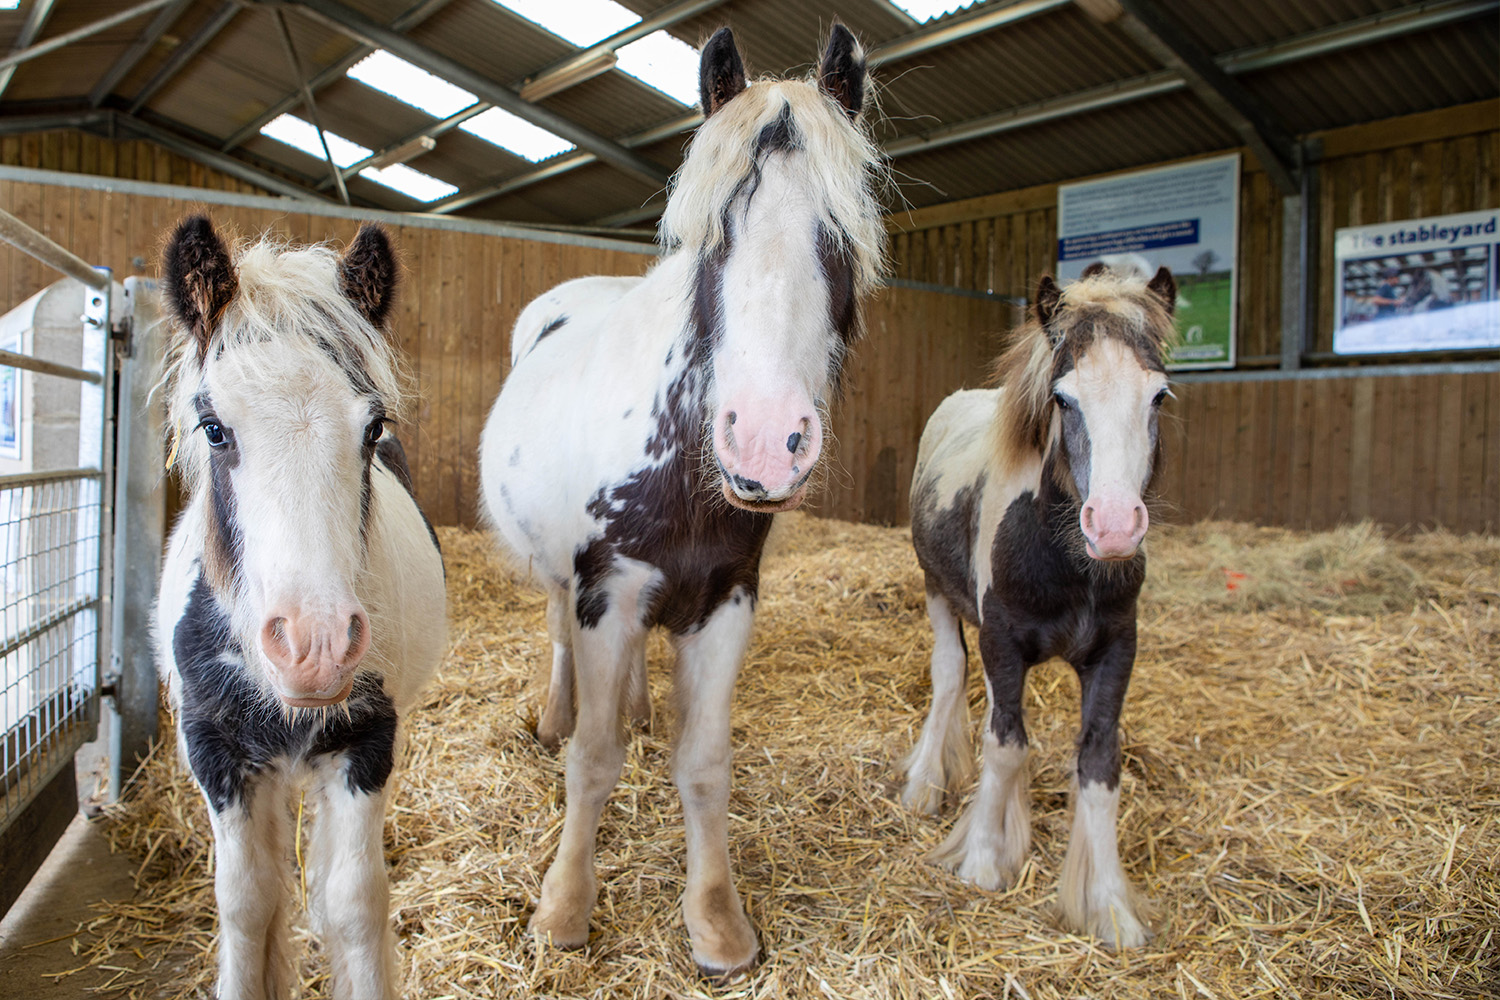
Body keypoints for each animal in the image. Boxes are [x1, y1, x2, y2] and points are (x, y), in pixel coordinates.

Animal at [160, 215, 450, 995]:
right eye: (214, 429)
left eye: (372, 430)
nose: (313, 647)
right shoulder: (215, 752)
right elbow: (247, 903)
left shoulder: (367, 743)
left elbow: (353, 903)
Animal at [477, 25, 876, 977]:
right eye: (715, 238)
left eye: (840, 235)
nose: (764, 440)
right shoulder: (606, 590)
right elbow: (592, 760)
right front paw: (565, 909)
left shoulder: (726, 599)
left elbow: (703, 762)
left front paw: (717, 923)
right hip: (562, 581)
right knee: (558, 640)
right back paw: (557, 714)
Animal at [894, 262, 1176, 953]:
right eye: (1063, 398)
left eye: (1158, 395)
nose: (1114, 526)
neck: (1066, 564)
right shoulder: (1001, 637)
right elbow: (1004, 745)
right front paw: (982, 861)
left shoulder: (1116, 650)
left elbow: (1098, 766)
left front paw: (1110, 908)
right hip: (938, 593)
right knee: (950, 679)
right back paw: (924, 786)